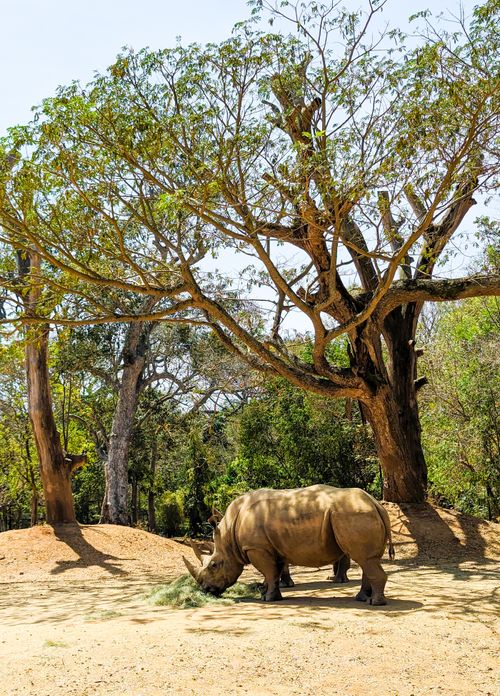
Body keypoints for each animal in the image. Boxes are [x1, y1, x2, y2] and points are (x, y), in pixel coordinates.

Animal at [184, 484, 395, 605]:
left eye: (214, 565)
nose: (206, 590)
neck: (229, 536)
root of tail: (376, 504)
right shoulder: (272, 547)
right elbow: (274, 573)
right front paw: (272, 595)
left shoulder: (256, 548)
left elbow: (269, 572)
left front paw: (267, 599)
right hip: (357, 514)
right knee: (367, 560)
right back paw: (362, 598)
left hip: (353, 514)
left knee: (365, 559)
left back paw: (375, 603)